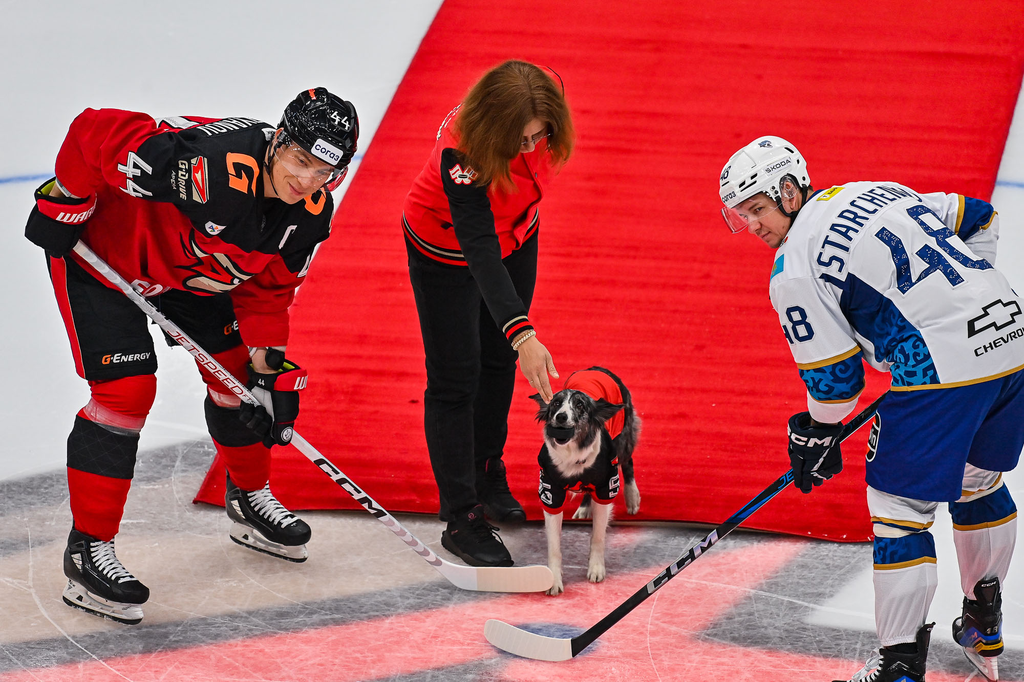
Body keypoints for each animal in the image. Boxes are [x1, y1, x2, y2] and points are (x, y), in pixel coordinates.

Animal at [528, 364, 638, 593]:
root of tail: (596, 367)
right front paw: (554, 581)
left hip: (623, 436)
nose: (561, 417)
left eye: (580, 405)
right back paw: (585, 507)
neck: (573, 452)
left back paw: (632, 498)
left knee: (628, 461)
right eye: (556, 403)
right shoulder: (551, 491)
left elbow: (597, 536)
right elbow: (554, 546)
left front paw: (596, 569)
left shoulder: (606, 485)